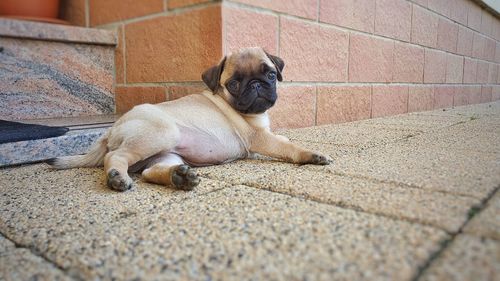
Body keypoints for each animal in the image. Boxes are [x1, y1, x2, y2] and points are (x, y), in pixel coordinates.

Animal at [48, 47, 330, 190]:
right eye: (234, 84)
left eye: (270, 75)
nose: (257, 85)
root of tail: (111, 130)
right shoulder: (259, 139)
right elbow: (287, 147)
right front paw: (310, 154)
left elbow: (282, 138)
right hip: (162, 133)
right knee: (115, 157)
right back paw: (117, 177)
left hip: (166, 154)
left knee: (149, 171)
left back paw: (179, 177)